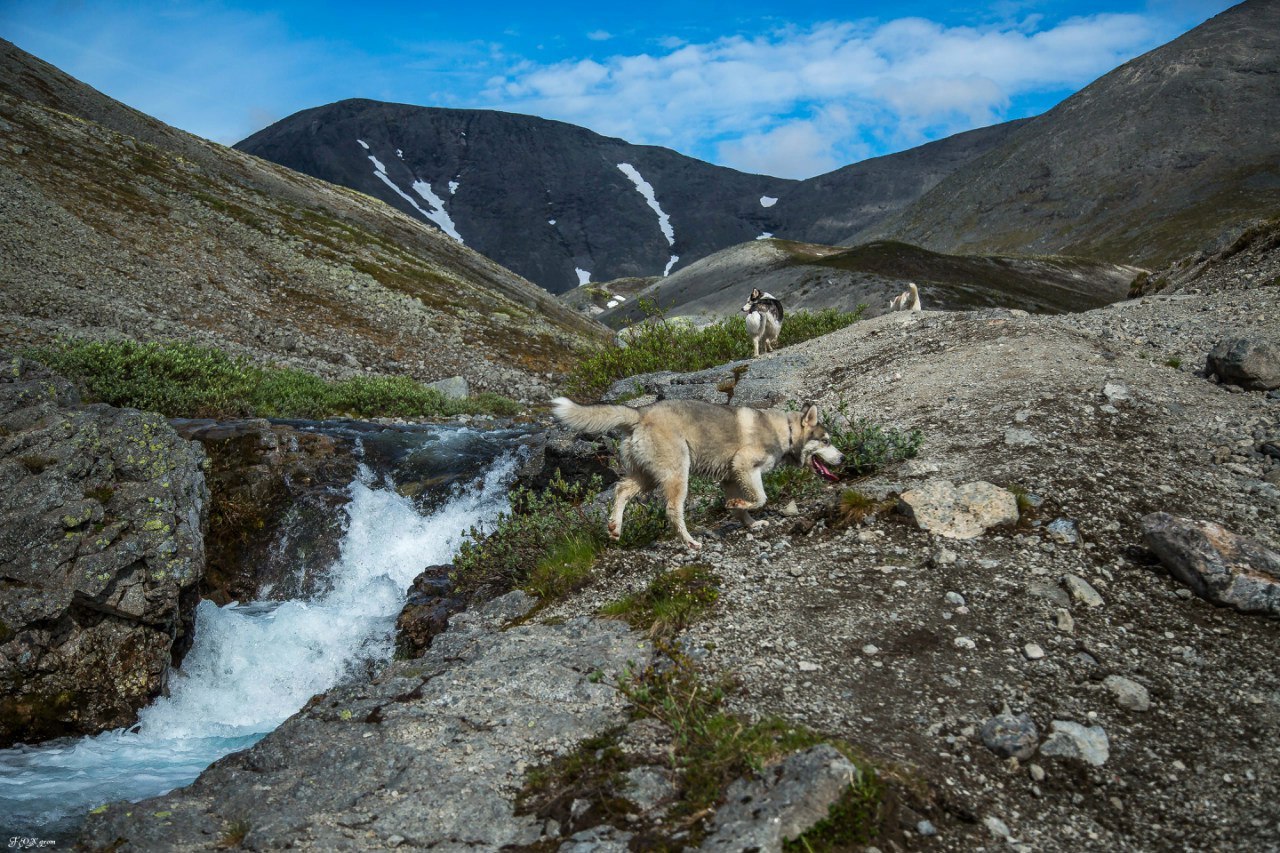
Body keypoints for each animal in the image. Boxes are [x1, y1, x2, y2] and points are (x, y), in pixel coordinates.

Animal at [547, 397, 839, 548]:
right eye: (826, 441)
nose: (843, 457)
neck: (786, 432)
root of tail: (641, 413)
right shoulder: (744, 466)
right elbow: (760, 498)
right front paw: (741, 506)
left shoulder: (730, 478)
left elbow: (743, 509)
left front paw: (751, 523)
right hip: (677, 475)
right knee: (672, 511)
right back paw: (690, 542)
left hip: (647, 477)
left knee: (621, 490)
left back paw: (615, 527)